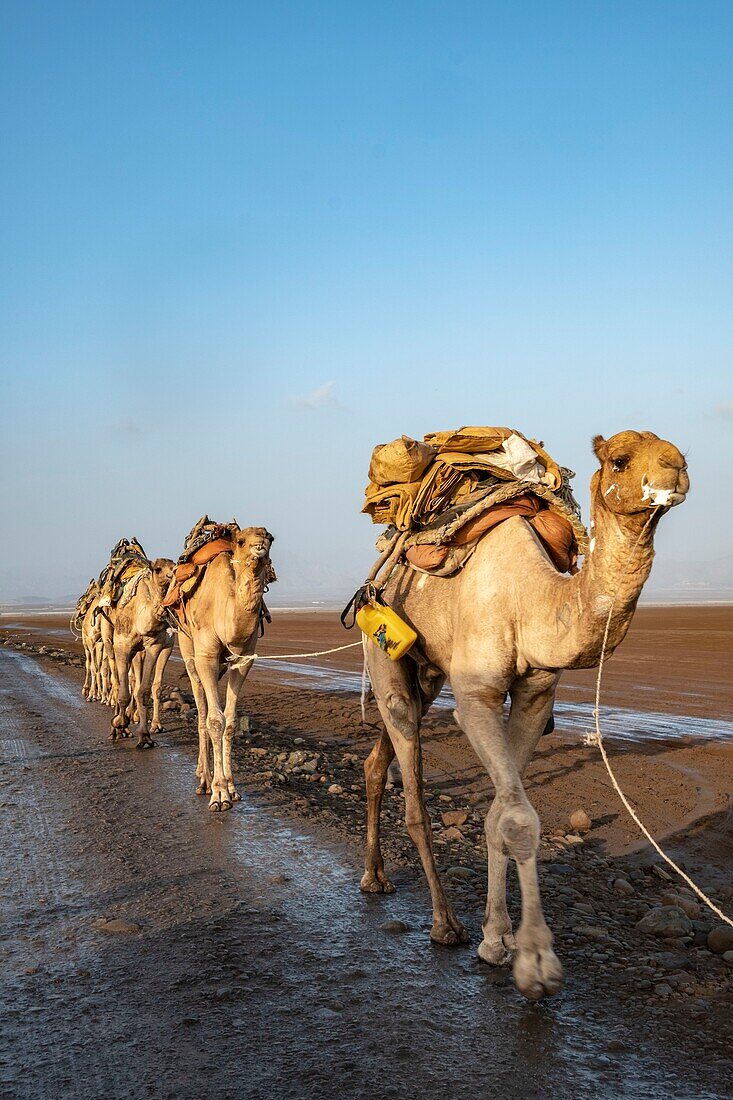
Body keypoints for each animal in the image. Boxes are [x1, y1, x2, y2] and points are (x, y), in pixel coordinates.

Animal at [177, 528, 274, 814]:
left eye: (271, 537)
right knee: (201, 710)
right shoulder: (207, 656)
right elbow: (215, 721)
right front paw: (219, 793)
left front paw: (231, 787)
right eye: (240, 541)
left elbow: (229, 721)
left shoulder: (243, 660)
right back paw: (204, 779)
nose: (259, 545)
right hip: (188, 649)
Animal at [358, 433, 686, 1003]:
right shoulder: (477, 696)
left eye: (678, 451)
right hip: (383, 646)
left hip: (427, 674)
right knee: (412, 788)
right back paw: (444, 922)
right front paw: (535, 960)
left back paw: (374, 877)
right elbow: (518, 817)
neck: (531, 600)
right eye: (619, 461)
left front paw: (497, 939)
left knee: (378, 761)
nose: (678, 469)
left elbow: (497, 815)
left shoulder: (535, 696)